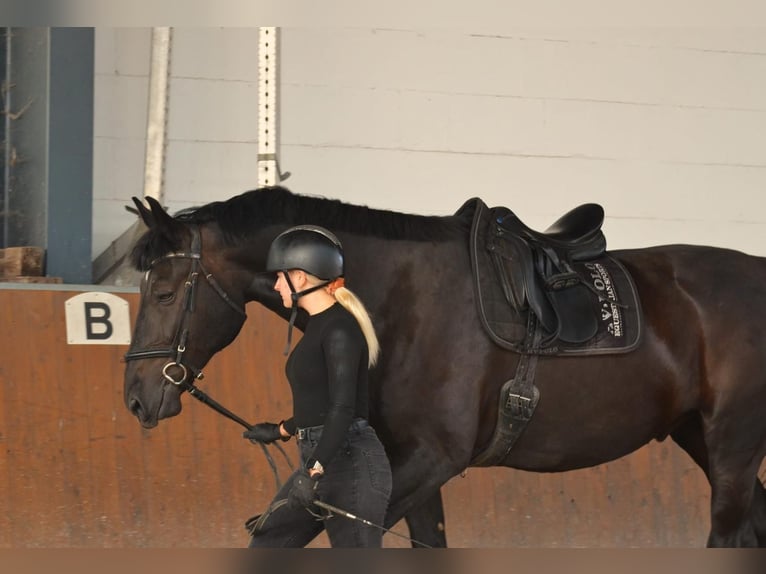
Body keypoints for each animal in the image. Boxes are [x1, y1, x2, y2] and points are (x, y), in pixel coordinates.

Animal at [123, 186, 766, 547]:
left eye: (164, 291)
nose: (136, 396)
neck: (401, 298)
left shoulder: (432, 459)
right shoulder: (401, 460)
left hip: (732, 445)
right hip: (700, 436)